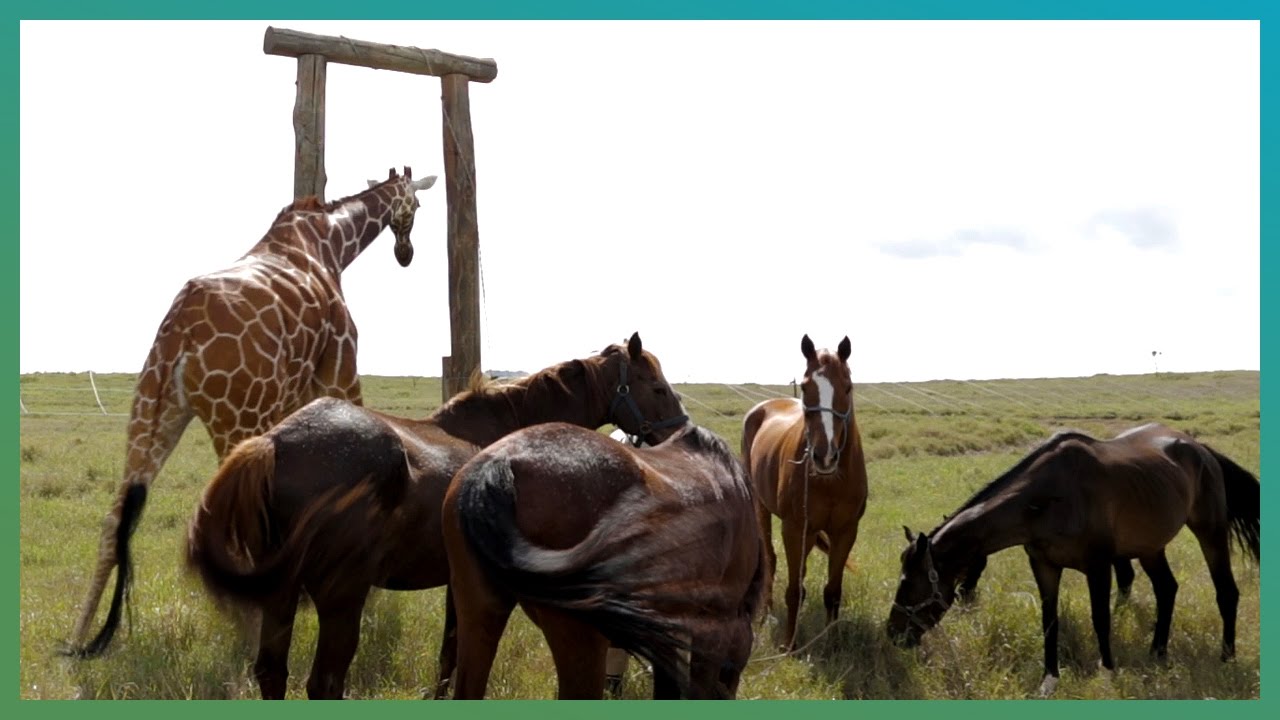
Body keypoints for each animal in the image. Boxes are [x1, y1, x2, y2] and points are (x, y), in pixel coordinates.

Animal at [66, 167, 438, 657]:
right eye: (416, 206)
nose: (406, 253)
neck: (333, 242)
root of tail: (178, 337)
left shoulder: (293, 397)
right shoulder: (340, 373)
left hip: (150, 413)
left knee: (114, 519)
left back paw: (77, 641)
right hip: (236, 417)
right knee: (228, 525)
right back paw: (252, 638)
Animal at [185, 333, 689, 699]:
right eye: (657, 387)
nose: (681, 432)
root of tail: (272, 443)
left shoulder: (458, 581)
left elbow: (451, 653)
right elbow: (455, 649)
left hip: (280, 594)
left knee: (272, 673)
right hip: (341, 595)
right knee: (324, 683)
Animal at [741, 335, 868, 651]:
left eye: (848, 386)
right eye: (807, 386)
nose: (825, 456)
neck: (830, 481)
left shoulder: (846, 531)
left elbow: (833, 590)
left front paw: (832, 640)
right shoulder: (795, 529)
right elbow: (795, 590)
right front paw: (790, 644)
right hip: (762, 507)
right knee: (770, 559)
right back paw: (766, 616)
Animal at [886, 422, 1260, 696]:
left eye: (910, 584)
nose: (893, 635)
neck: (1049, 496)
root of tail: (1200, 448)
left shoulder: (1099, 567)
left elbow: (1101, 619)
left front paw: (1107, 673)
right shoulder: (1044, 566)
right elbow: (1049, 621)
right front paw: (1049, 679)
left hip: (1210, 532)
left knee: (1226, 592)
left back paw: (1226, 657)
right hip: (1150, 547)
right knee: (1167, 590)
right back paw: (1157, 652)